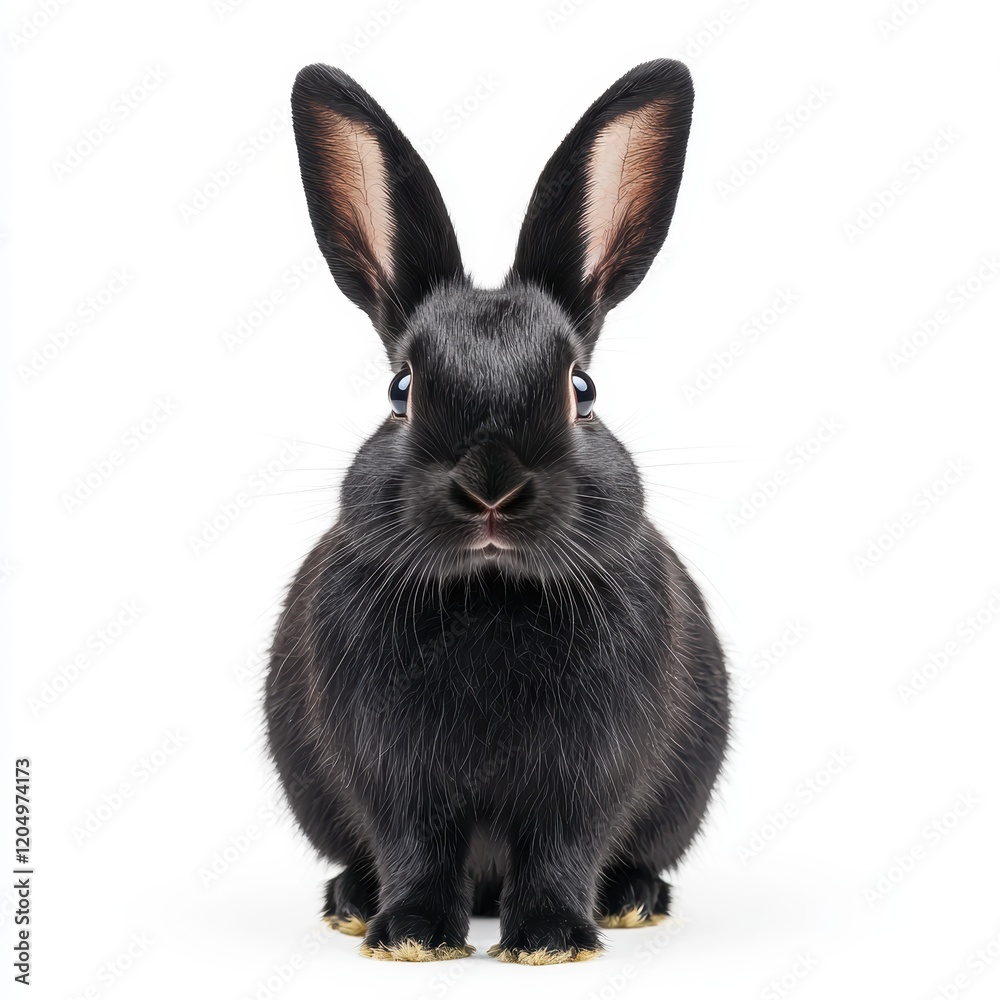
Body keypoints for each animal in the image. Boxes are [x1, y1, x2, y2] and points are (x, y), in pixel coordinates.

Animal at [265, 58, 730, 965]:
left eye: (582, 390)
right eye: (401, 391)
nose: (491, 488)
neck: (489, 593)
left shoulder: (586, 775)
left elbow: (562, 847)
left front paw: (550, 941)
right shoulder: (395, 776)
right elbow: (414, 845)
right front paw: (411, 937)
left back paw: (632, 898)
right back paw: (351, 900)